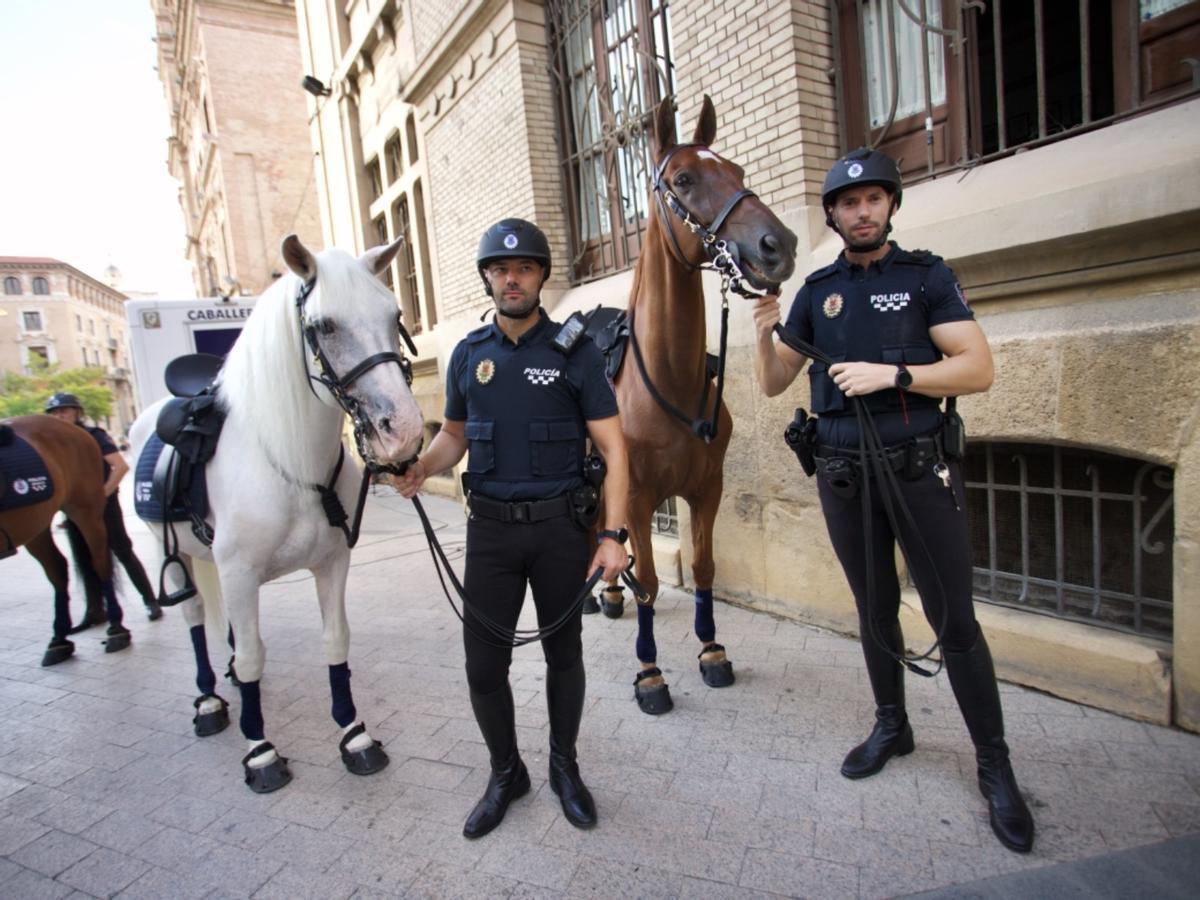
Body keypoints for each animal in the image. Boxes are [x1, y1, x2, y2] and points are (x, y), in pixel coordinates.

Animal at [0, 420, 130, 667]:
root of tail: (72, 427)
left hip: (85, 509)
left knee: (100, 562)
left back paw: (116, 629)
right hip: (37, 523)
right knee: (57, 568)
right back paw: (59, 640)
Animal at [127, 236, 422, 792]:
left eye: (395, 315)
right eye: (324, 326)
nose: (405, 431)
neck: (291, 465)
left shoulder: (331, 563)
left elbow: (334, 640)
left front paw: (354, 736)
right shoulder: (240, 574)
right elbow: (252, 655)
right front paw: (260, 750)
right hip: (169, 553)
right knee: (194, 618)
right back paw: (208, 701)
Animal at [400, 218, 628, 840]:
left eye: (523, 267)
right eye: (502, 269)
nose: (510, 282)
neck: (519, 335)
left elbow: (612, 443)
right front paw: (503, 787)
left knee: (564, 664)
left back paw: (565, 778)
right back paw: (517, 779)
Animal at [600, 97, 796, 720]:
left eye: (736, 169)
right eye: (684, 179)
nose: (778, 245)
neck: (669, 382)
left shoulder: (707, 488)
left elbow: (706, 567)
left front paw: (712, 649)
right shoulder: (638, 497)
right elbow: (651, 577)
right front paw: (650, 673)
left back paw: (607, 593)